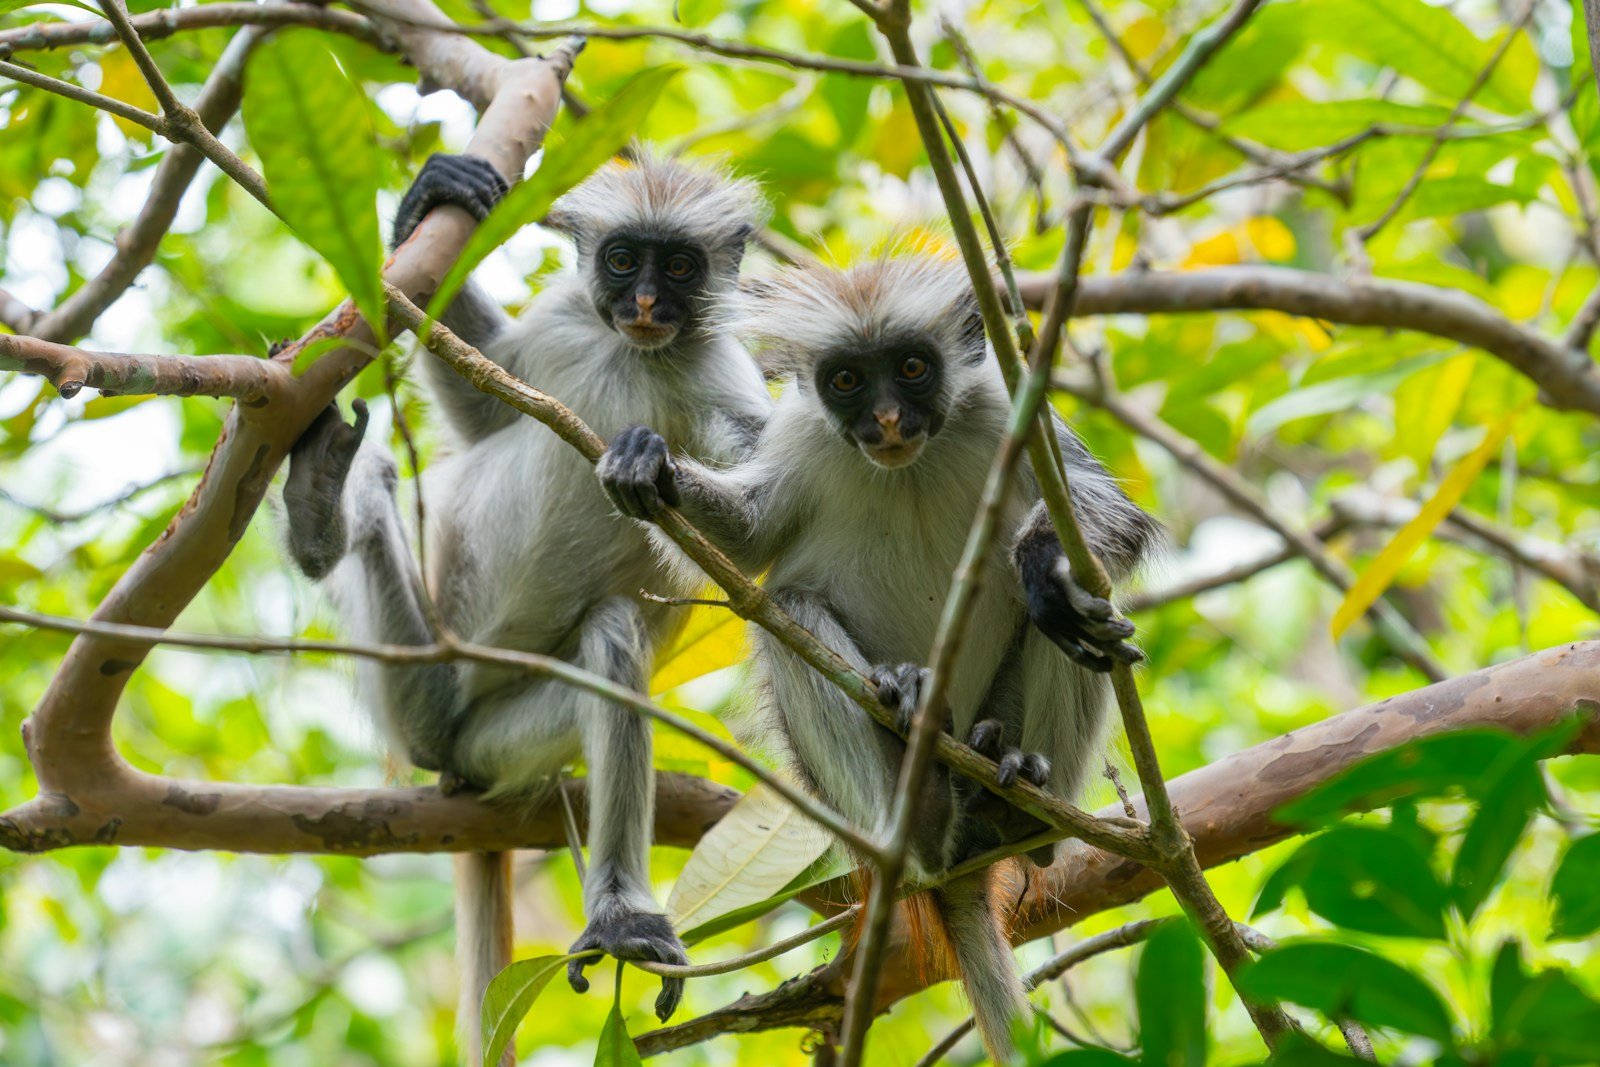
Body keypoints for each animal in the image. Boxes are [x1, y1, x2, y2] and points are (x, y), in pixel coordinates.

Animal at [280, 151, 773, 1034]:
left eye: (681, 268)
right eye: (623, 261)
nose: (645, 304)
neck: (635, 353)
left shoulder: (725, 381)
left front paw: (654, 469)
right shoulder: (565, 321)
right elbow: (483, 410)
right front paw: (431, 198)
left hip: (491, 740)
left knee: (610, 639)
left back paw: (620, 918)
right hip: (417, 668)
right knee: (374, 505)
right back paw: (319, 512)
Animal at [596, 255, 1157, 1062]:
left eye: (913, 368)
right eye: (846, 381)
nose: (888, 421)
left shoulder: (1007, 410)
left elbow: (1105, 523)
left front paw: (1044, 564)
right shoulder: (804, 434)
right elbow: (749, 542)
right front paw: (652, 467)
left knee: (1073, 632)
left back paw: (1016, 796)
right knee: (790, 608)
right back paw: (917, 805)